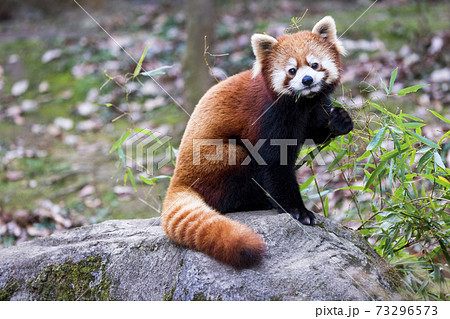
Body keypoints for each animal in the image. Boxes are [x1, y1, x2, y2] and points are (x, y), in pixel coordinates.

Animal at [160, 16, 354, 268]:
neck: (301, 104)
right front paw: (296, 209)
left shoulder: (315, 107)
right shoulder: (268, 117)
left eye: (314, 65)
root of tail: (178, 180)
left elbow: (319, 131)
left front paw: (340, 121)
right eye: (292, 71)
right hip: (215, 159)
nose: (307, 80)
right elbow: (273, 162)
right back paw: (259, 201)